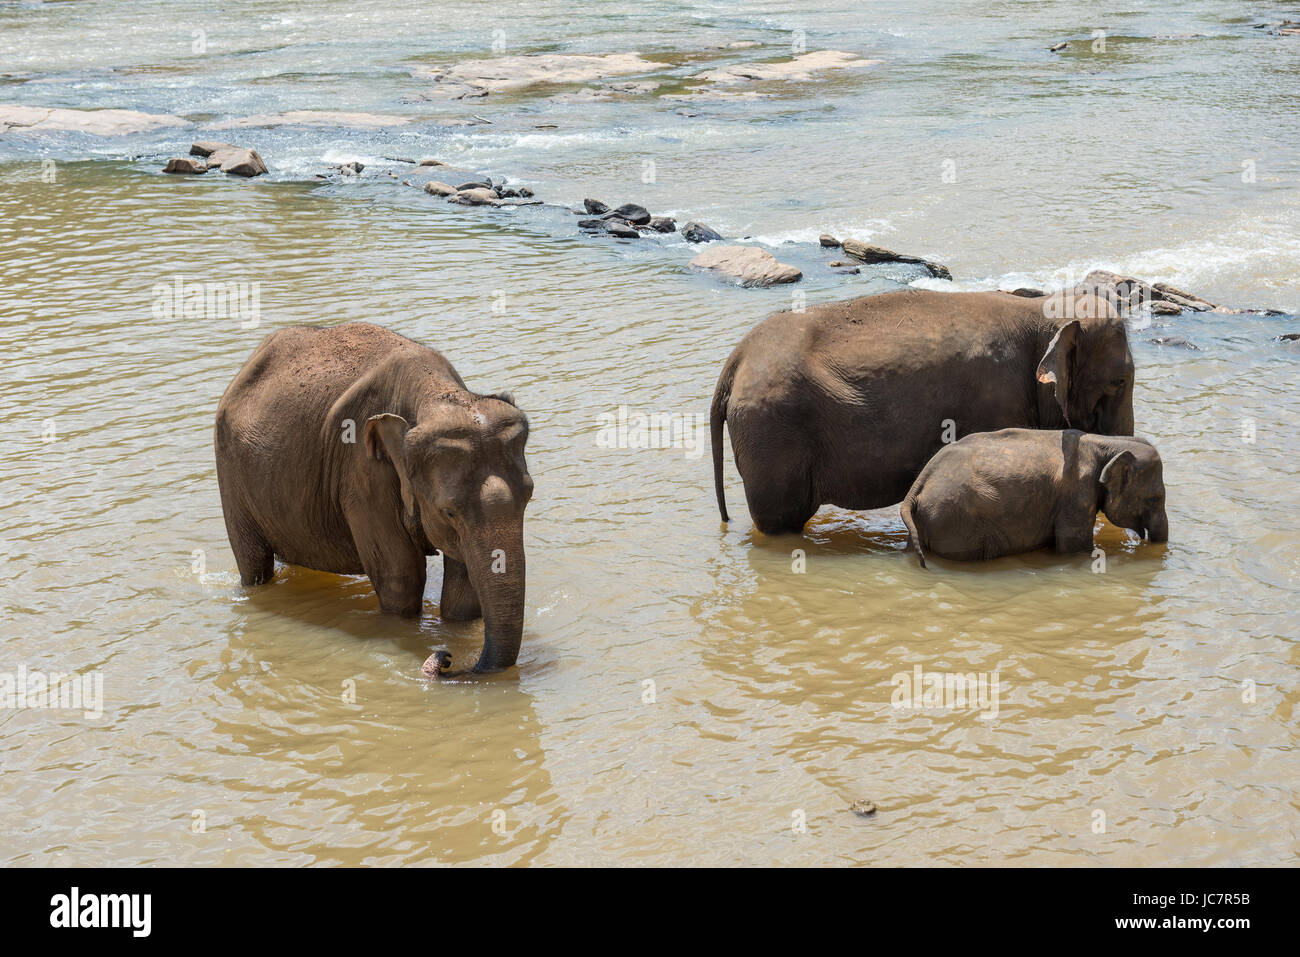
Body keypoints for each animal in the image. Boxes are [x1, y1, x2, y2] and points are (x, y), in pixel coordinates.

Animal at [214, 322, 533, 676]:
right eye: (448, 512)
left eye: (529, 496)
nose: (447, 658)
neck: (437, 396)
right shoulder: (363, 474)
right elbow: (401, 577)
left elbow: (461, 594)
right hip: (229, 473)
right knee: (254, 565)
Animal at [710, 288, 1135, 534]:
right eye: (1119, 382)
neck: (1040, 309)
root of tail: (736, 360)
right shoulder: (999, 400)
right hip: (772, 430)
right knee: (780, 519)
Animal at [899, 429, 1168, 565]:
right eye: (1154, 498)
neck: (1107, 442)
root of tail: (917, 486)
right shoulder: (1077, 495)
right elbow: (1074, 547)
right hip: (955, 519)